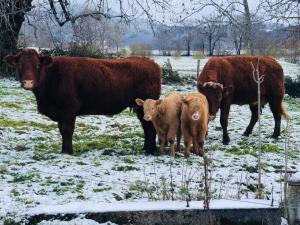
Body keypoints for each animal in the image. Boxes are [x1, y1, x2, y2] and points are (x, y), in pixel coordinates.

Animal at [3, 49, 161, 155]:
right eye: (20, 65)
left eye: (37, 65)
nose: (28, 82)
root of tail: (150, 62)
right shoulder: (61, 113)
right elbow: (62, 131)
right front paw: (63, 150)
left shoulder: (69, 109)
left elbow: (67, 131)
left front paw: (68, 152)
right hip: (140, 108)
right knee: (146, 128)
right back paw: (146, 149)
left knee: (150, 128)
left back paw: (150, 151)